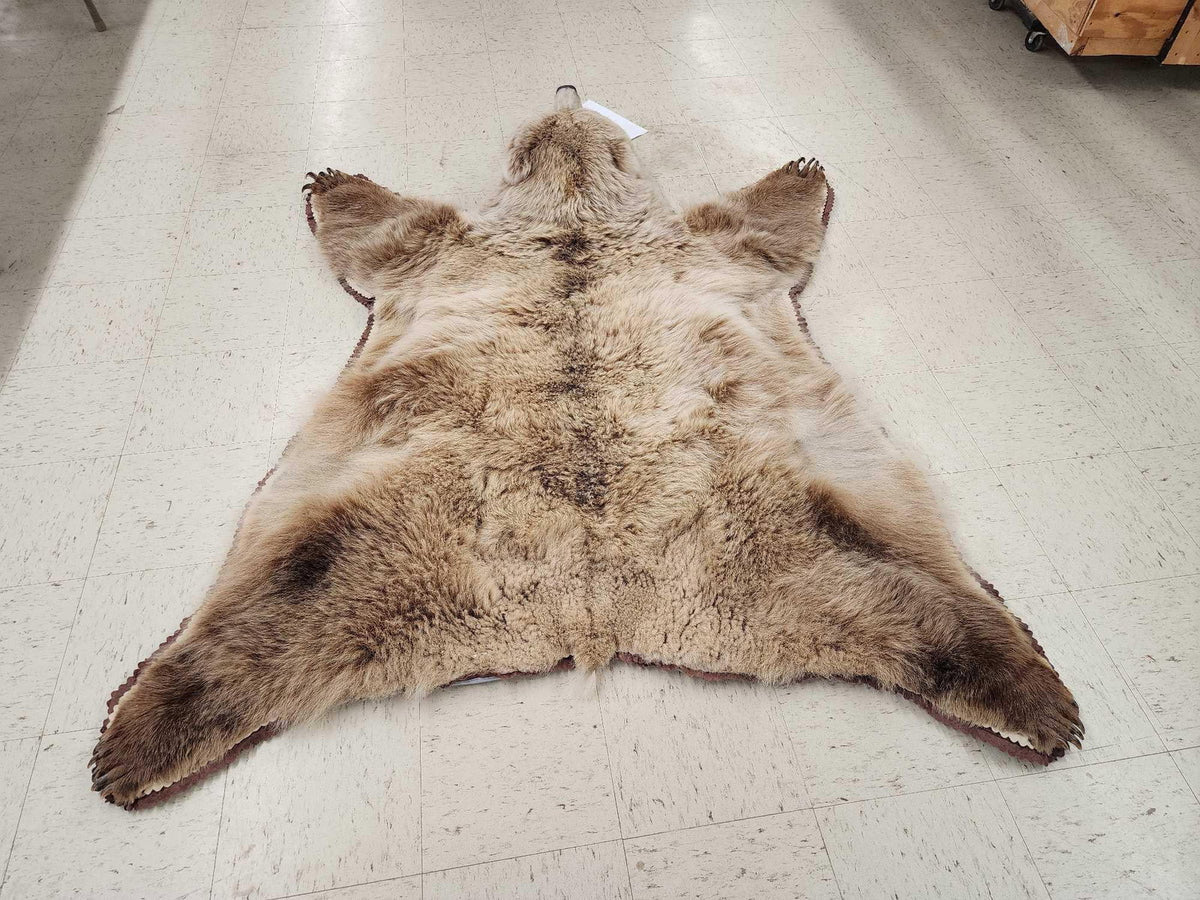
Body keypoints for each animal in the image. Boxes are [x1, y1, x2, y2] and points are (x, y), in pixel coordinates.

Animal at [91, 85, 1081, 809]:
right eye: (548, 121)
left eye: (581, 121)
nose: (567, 92)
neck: (573, 211)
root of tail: (596, 612)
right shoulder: (434, 243)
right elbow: (385, 223)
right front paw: (334, 180)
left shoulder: (718, 241)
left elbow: (764, 218)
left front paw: (799, 167)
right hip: (356, 526)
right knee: (259, 616)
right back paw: (138, 736)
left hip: (819, 510)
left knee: (919, 591)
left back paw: (1027, 693)